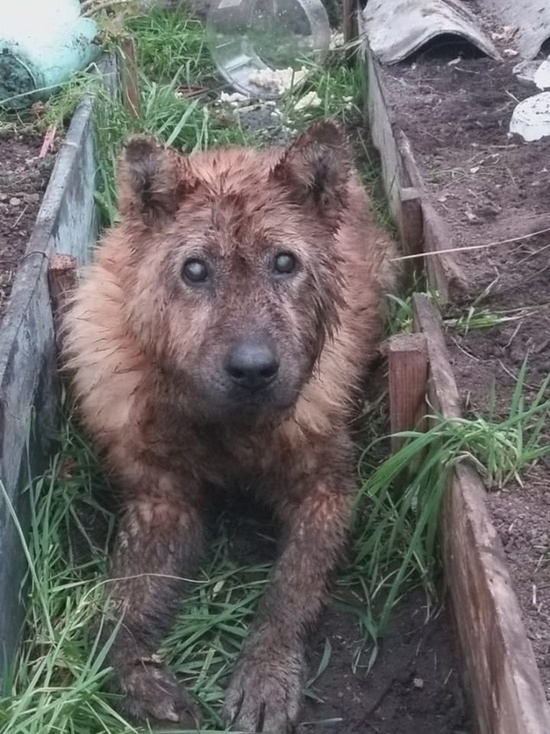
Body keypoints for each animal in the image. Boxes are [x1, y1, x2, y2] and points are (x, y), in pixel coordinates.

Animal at [64, 121, 398, 732]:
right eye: (195, 270)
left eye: (285, 263)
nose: (253, 370)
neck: (225, 429)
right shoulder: (162, 504)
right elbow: (118, 608)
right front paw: (139, 677)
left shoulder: (326, 494)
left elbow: (288, 590)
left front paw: (266, 672)